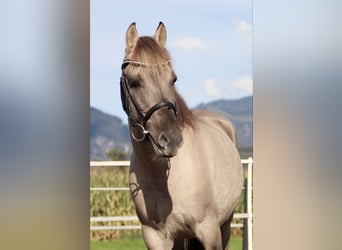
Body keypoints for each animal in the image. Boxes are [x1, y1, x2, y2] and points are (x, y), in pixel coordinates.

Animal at [120, 22, 243, 250]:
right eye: (133, 82)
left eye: (173, 79)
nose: (171, 140)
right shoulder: (155, 237)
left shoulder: (209, 231)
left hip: (225, 225)